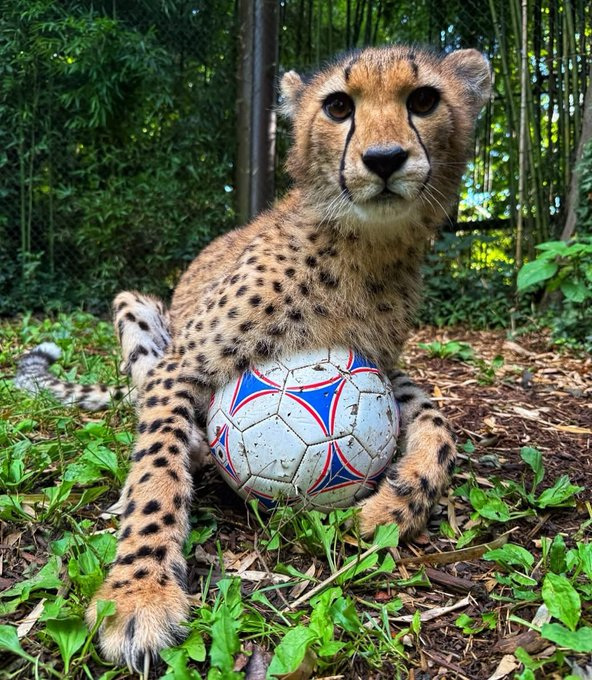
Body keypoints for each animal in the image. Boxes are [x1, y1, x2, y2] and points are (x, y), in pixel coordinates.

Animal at [15, 44, 491, 671]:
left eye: (424, 100)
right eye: (339, 106)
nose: (385, 159)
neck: (367, 247)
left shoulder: (377, 368)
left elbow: (439, 426)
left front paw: (396, 505)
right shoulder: (181, 365)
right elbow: (155, 471)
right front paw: (139, 591)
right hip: (135, 304)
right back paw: (195, 448)